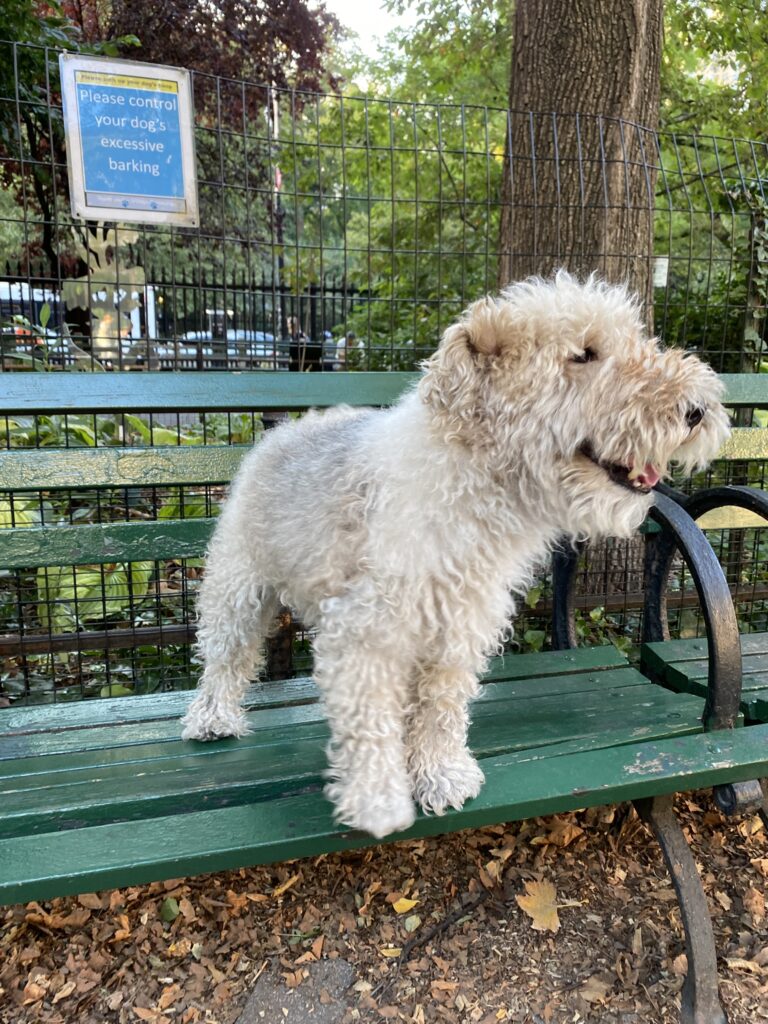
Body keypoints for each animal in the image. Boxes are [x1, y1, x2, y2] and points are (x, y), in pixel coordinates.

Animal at [183, 274, 729, 839]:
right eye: (584, 354)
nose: (699, 409)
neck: (474, 484)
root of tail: (285, 428)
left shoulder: (460, 626)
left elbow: (441, 708)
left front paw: (440, 776)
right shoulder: (365, 632)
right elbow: (370, 721)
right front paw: (377, 801)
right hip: (239, 585)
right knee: (224, 656)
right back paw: (212, 719)